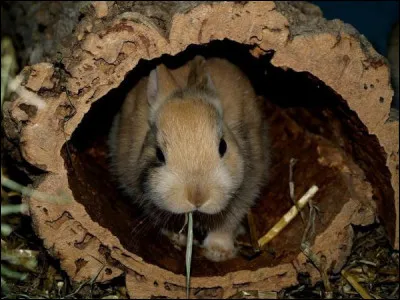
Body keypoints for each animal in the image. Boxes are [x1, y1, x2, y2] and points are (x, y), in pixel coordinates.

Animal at [108, 55, 270, 262]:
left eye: (223, 146)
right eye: (159, 154)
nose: (197, 198)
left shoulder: (246, 189)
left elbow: (226, 224)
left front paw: (218, 252)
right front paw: (179, 239)